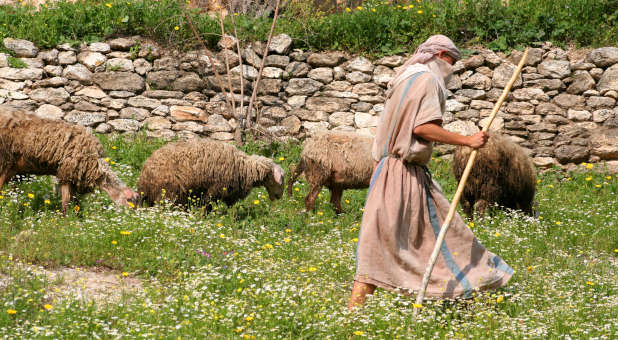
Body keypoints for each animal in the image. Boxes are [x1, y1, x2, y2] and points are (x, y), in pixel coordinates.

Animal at [0, 105, 137, 214]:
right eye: (130, 200)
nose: (134, 218)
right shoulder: (67, 173)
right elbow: (66, 203)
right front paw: (66, 222)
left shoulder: (73, 178)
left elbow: (74, 203)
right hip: (4, 161)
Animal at [136, 138, 282, 207]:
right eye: (279, 180)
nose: (279, 196)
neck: (245, 167)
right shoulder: (214, 190)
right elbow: (207, 206)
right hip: (168, 193)